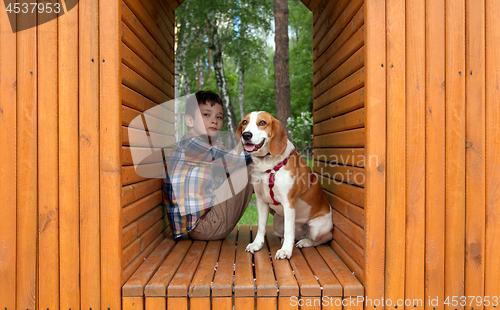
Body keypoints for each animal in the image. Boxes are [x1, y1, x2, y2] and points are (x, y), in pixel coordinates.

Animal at [237, 111, 334, 260]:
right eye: (244, 122)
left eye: (262, 122)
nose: (246, 135)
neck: (268, 166)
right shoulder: (261, 200)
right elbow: (261, 226)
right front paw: (257, 244)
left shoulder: (288, 203)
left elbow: (289, 231)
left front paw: (286, 251)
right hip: (277, 220)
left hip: (317, 228)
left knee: (321, 239)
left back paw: (305, 242)